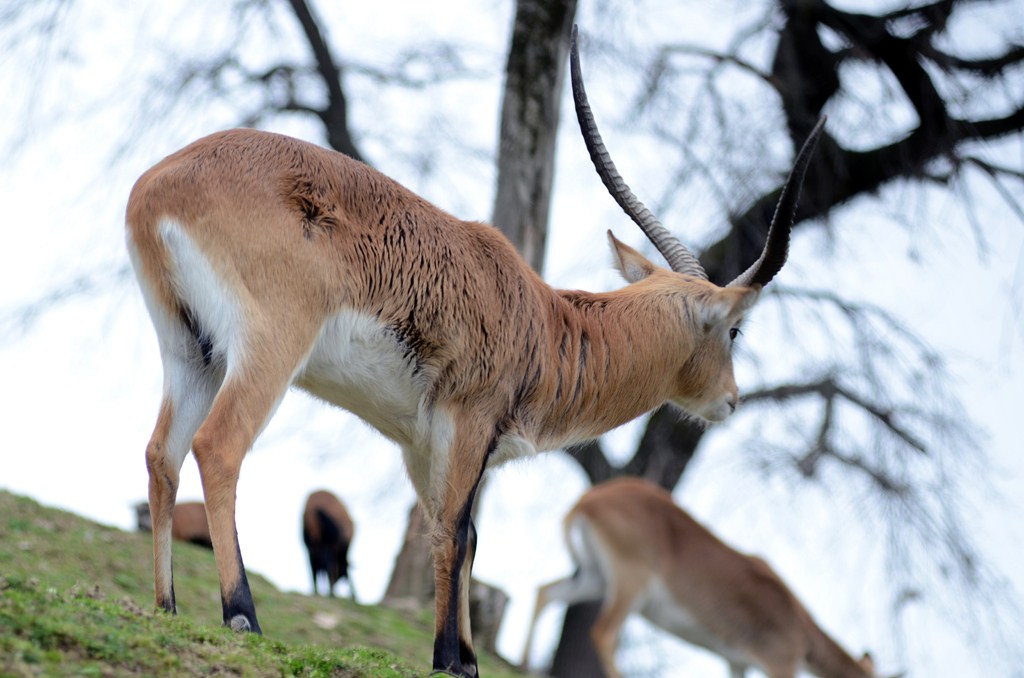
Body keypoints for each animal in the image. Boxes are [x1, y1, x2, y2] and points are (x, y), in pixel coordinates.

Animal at [125, 23, 823, 676]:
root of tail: (158, 184)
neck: (547, 321)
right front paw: (449, 660)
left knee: (162, 453)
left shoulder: (421, 442)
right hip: (268, 353)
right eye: (735, 329)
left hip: (193, 353)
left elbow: (464, 532)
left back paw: (167, 606)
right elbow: (454, 532)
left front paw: (466, 656)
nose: (731, 399)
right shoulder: (467, 422)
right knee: (219, 446)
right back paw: (242, 615)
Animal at [522, 478, 894, 678]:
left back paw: (525, 665)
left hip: (595, 578)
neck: (800, 629)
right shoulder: (780, 664)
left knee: (545, 592)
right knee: (603, 632)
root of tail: (587, 500)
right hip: (631, 584)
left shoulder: (736, 662)